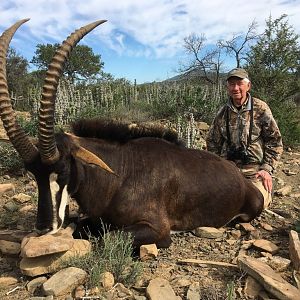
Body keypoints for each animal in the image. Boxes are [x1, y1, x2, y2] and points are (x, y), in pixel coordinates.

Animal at [0, 19, 262, 248]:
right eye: (33, 173)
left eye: (62, 170)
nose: (43, 228)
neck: (119, 174)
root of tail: (241, 178)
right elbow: (81, 226)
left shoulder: (158, 229)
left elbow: (108, 239)